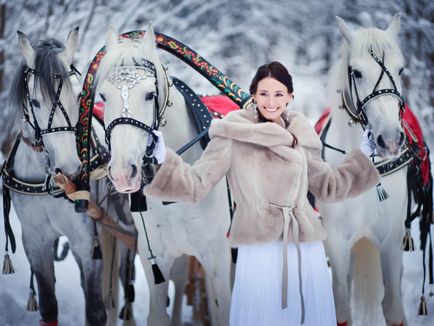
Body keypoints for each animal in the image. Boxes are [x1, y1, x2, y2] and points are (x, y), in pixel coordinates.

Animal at [4, 28, 136, 326]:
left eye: (78, 96)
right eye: (36, 101)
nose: (70, 169)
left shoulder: (86, 242)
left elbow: (95, 311)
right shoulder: (36, 241)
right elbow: (48, 306)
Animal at [96, 25, 232, 326]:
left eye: (149, 94)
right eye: (103, 96)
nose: (122, 173)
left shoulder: (219, 257)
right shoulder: (156, 257)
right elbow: (158, 313)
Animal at [316, 13, 410, 326]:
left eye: (401, 69)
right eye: (356, 72)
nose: (390, 140)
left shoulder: (392, 239)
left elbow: (393, 308)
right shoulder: (336, 242)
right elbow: (341, 310)